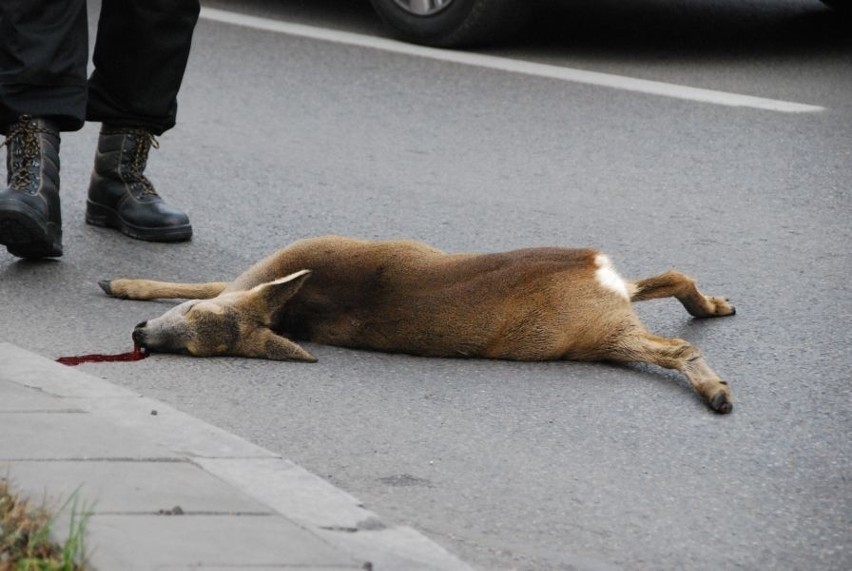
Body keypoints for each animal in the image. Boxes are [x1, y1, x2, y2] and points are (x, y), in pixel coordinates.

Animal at [101, 235, 740, 414]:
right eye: (192, 351)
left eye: (197, 326)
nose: (140, 336)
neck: (298, 307)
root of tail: (594, 267)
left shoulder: (267, 266)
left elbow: (206, 281)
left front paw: (122, 282)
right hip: (606, 325)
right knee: (671, 279)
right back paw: (713, 312)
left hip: (598, 331)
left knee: (674, 343)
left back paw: (716, 391)